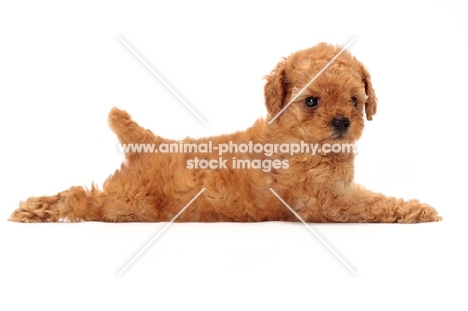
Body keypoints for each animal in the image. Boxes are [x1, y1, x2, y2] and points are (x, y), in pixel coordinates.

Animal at [10, 44, 442, 224]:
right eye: (312, 101)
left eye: (355, 100)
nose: (342, 123)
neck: (300, 138)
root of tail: (151, 143)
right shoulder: (326, 202)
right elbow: (374, 204)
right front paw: (417, 210)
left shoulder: (335, 192)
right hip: (128, 203)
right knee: (82, 199)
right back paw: (37, 210)